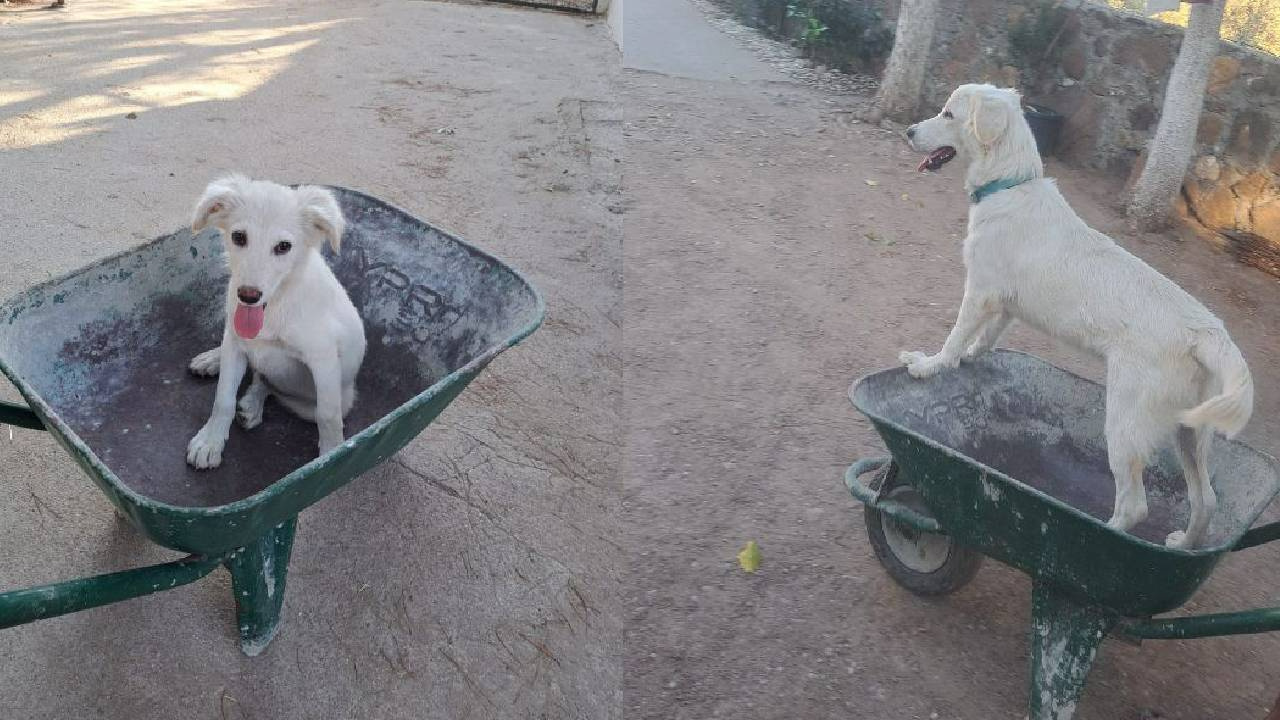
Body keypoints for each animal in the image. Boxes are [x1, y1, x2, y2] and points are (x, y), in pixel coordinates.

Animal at [184, 172, 371, 466]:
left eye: (284, 247)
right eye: (238, 237)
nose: (248, 295)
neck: (274, 306)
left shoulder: (324, 360)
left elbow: (328, 416)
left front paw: (330, 457)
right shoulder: (236, 345)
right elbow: (223, 398)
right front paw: (210, 440)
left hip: (327, 397)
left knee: (271, 385)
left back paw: (252, 403)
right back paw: (216, 364)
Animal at [901, 83, 1249, 545]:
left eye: (948, 114)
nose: (908, 131)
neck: (1009, 185)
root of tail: (1206, 331)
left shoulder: (978, 292)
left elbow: (954, 337)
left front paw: (929, 366)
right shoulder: (1004, 303)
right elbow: (986, 338)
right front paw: (970, 359)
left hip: (1124, 423)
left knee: (1134, 505)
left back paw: (1098, 535)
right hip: (1190, 431)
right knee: (1206, 501)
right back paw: (1182, 543)